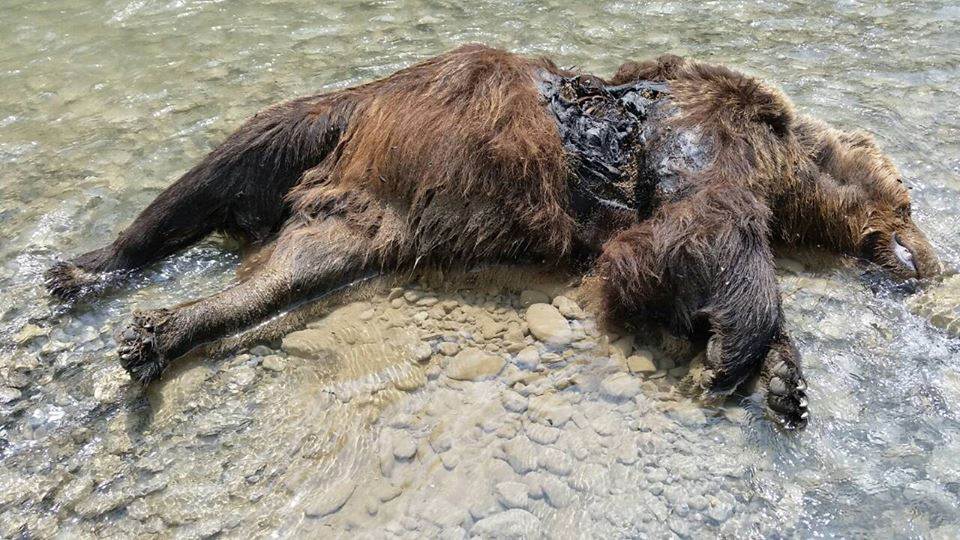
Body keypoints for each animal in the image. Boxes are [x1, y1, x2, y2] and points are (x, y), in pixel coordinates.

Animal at [45, 44, 936, 428]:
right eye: (912, 205)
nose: (926, 260)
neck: (789, 163)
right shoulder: (704, 136)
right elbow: (699, 235)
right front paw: (741, 352)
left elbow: (675, 265)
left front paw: (784, 380)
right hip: (327, 118)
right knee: (215, 169)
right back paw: (93, 268)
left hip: (359, 219)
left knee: (282, 272)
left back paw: (160, 328)